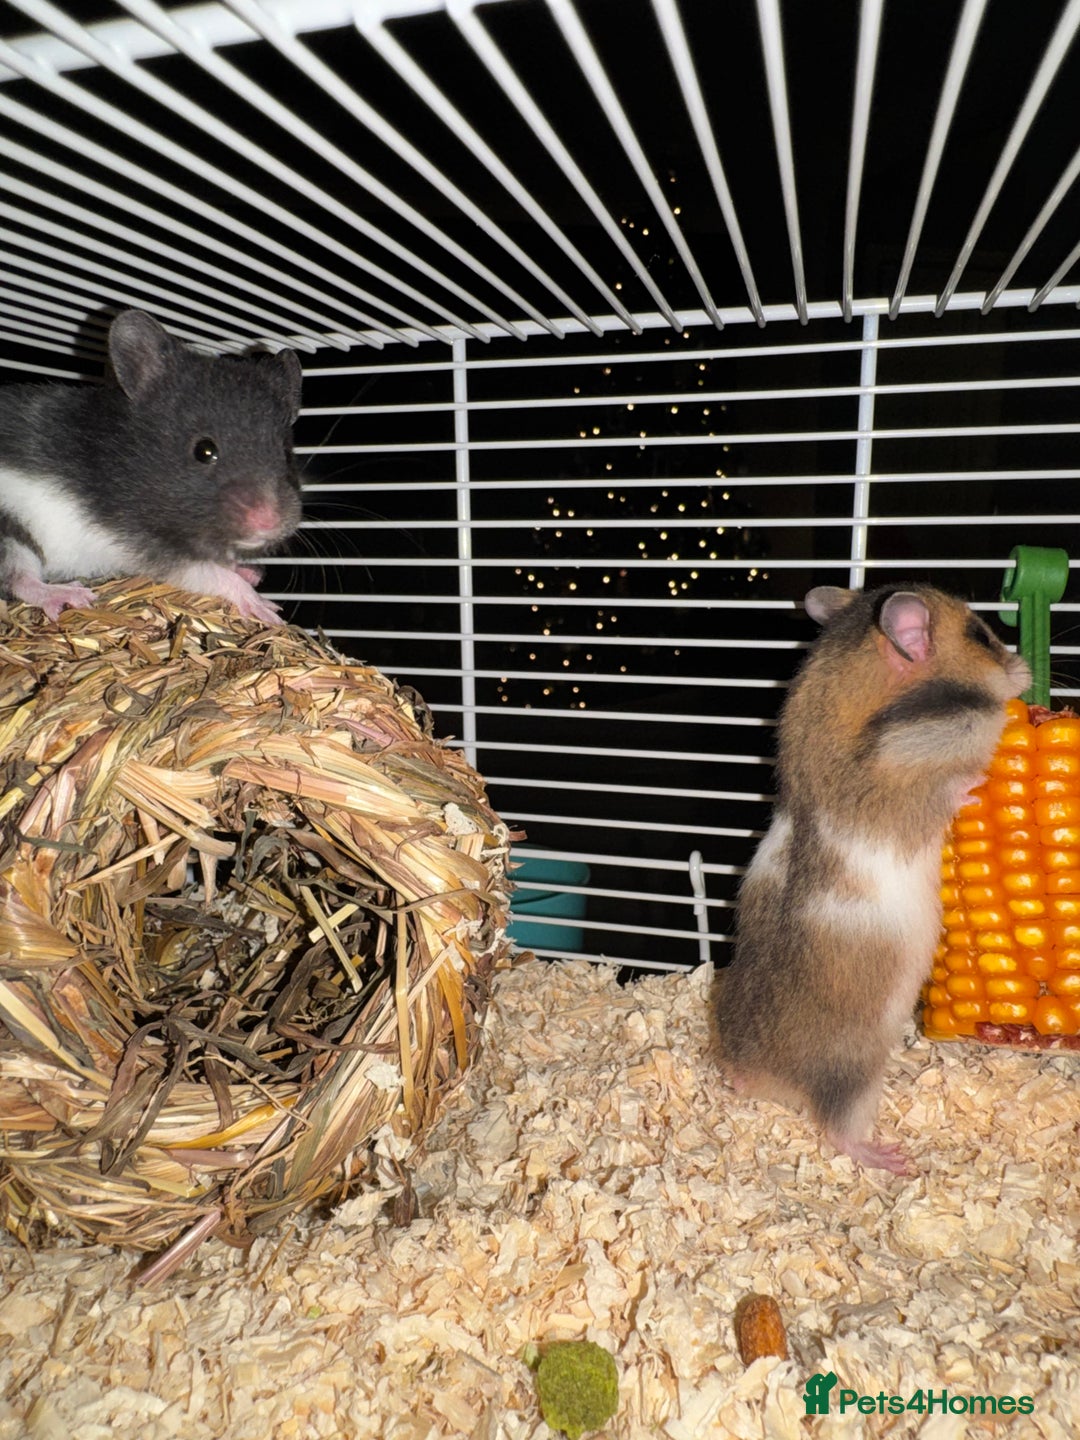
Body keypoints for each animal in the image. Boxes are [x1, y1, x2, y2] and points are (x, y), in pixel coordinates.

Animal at [0, 309, 302, 625]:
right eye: (204, 451)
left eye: (286, 453)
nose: (269, 523)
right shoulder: (139, 541)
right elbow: (208, 572)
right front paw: (268, 609)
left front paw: (252, 572)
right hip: (9, 530)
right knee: (19, 579)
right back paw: (71, 595)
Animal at [715, 584, 1031, 1174]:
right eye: (982, 635)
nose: (1024, 669)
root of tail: (759, 1075)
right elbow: (953, 781)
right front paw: (979, 777)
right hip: (854, 1076)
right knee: (839, 1127)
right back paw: (891, 1159)